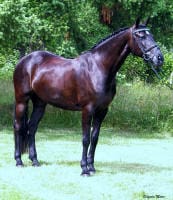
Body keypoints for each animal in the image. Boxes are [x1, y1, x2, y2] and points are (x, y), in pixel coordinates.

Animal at [13, 18, 164, 175]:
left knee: (32, 127)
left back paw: (35, 161)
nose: (159, 58)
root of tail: (24, 60)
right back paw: (19, 161)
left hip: (40, 103)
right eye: (140, 36)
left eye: (151, 35)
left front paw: (91, 167)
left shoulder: (102, 111)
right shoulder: (87, 109)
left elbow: (94, 138)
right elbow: (85, 139)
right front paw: (84, 169)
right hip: (21, 100)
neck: (98, 67)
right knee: (18, 126)